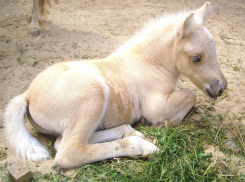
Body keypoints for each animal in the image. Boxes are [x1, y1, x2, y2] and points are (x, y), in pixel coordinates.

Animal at [4, 2, 226, 168]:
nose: (220, 87)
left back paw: (130, 130)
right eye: (196, 58)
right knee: (68, 152)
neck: (150, 63)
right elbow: (191, 95)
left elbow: (189, 95)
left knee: (68, 141)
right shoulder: (156, 106)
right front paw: (165, 123)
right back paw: (142, 146)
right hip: (93, 95)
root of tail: (27, 95)